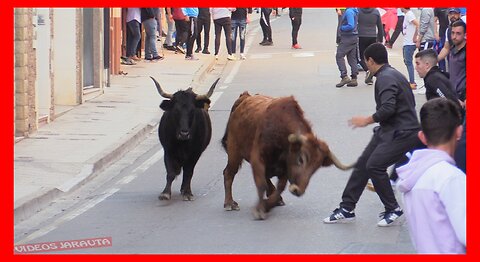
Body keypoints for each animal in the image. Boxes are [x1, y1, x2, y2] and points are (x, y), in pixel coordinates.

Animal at [221, 91, 352, 219]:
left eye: (316, 168)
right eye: (301, 159)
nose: (298, 190)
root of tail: (245, 97)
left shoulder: (285, 167)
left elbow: (280, 187)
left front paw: (268, 205)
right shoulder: (257, 158)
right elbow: (261, 183)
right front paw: (260, 209)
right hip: (234, 152)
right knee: (229, 173)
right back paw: (229, 203)